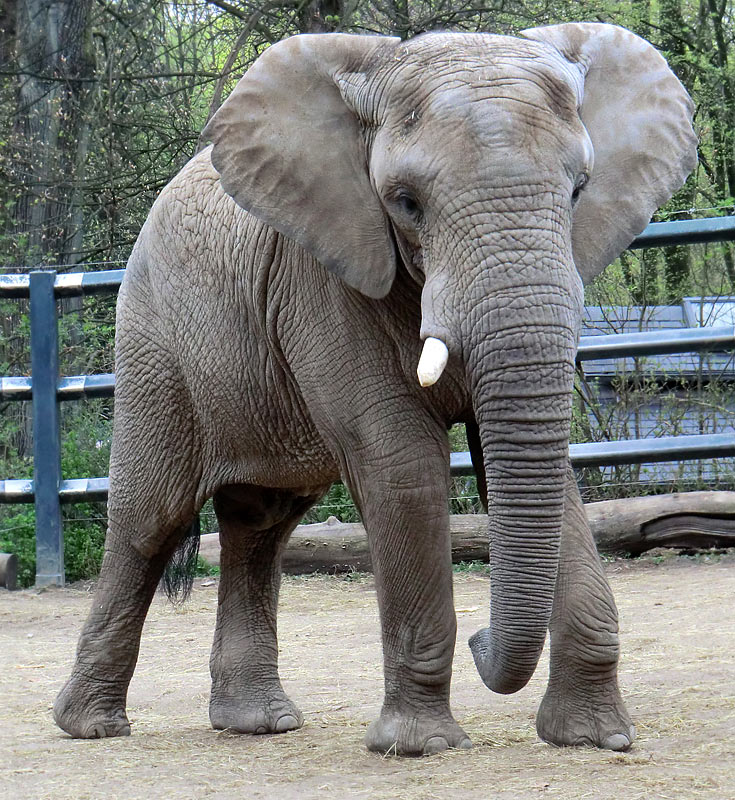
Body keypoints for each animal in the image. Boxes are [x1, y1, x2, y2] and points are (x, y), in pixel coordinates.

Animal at [51, 20, 696, 756]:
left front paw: (594, 738)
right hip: (154, 344)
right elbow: (402, 464)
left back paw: (259, 724)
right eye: (406, 203)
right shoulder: (322, 277)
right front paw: (420, 746)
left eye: (578, 191)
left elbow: (543, 471)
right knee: (147, 521)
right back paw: (92, 727)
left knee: (262, 521)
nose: (482, 640)